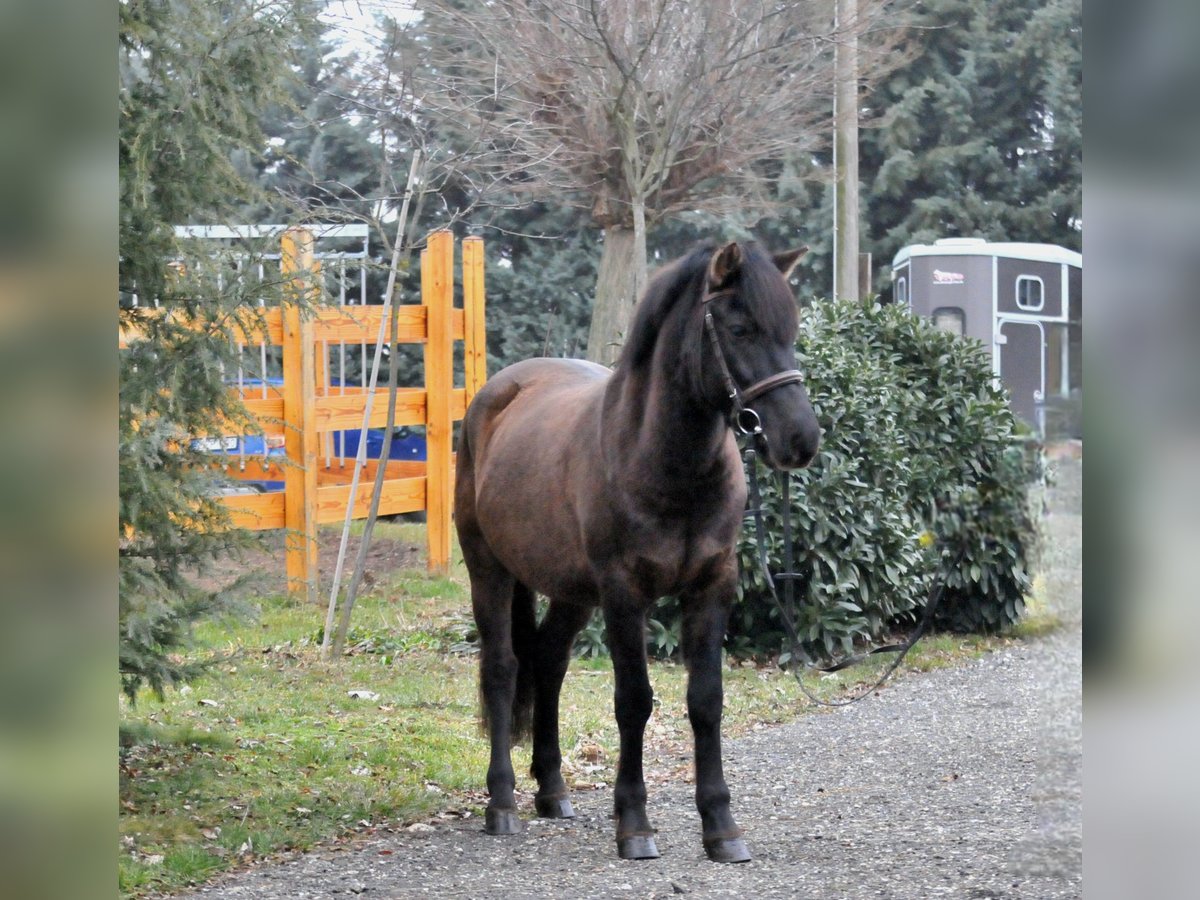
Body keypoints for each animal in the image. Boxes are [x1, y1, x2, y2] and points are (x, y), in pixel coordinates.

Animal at [453, 241, 820, 868]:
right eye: (740, 328)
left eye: (791, 330)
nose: (801, 440)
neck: (664, 461)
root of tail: (496, 395)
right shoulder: (625, 594)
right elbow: (634, 702)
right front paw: (634, 824)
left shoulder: (712, 587)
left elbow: (705, 701)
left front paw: (721, 828)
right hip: (491, 571)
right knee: (502, 669)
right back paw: (501, 803)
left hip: (571, 591)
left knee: (548, 662)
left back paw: (552, 791)